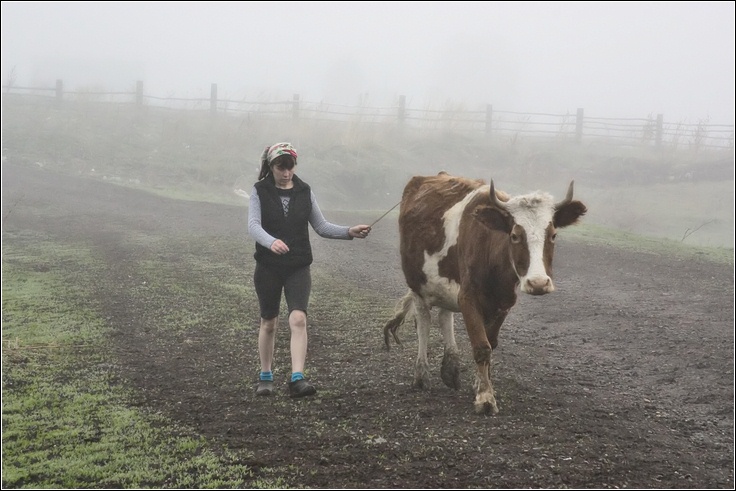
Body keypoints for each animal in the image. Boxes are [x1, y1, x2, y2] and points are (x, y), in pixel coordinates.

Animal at [386, 173, 588, 416]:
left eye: (553, 235)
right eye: (514, 236)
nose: (538, 283)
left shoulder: (503, 302)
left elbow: (490, 342)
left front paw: (481, 384)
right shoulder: (468, 298)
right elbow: (481, 347)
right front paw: (485, 397)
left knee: (445, 316)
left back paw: (450, 368)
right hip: (416, 284)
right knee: (423, 322)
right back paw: (421, 375)